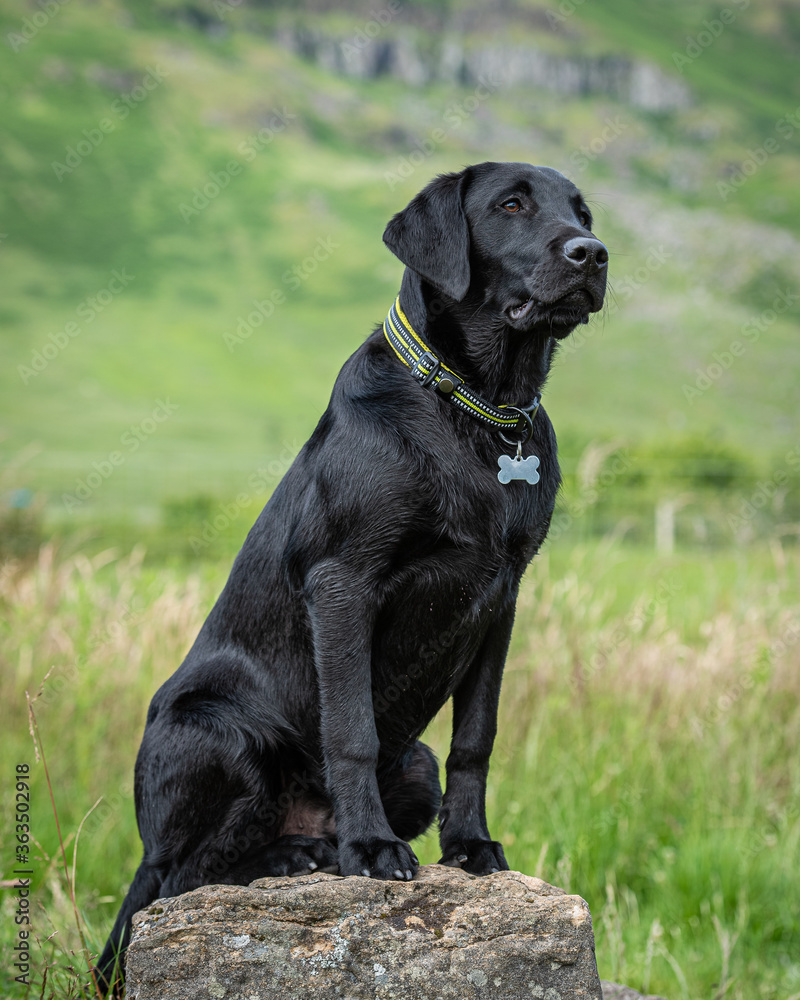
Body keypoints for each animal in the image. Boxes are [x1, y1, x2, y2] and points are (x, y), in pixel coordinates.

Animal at [97, 158, 608, 992]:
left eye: (581, 212)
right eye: (510, 205)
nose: (592, 254)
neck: (477, 405)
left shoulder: (502, 597)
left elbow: (477, 737)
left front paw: (471, 847)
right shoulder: (344, 583)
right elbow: (351, 730)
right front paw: (370, 850)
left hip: (415, 765)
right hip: (218, 732)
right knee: (179, 877)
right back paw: (305, 850)